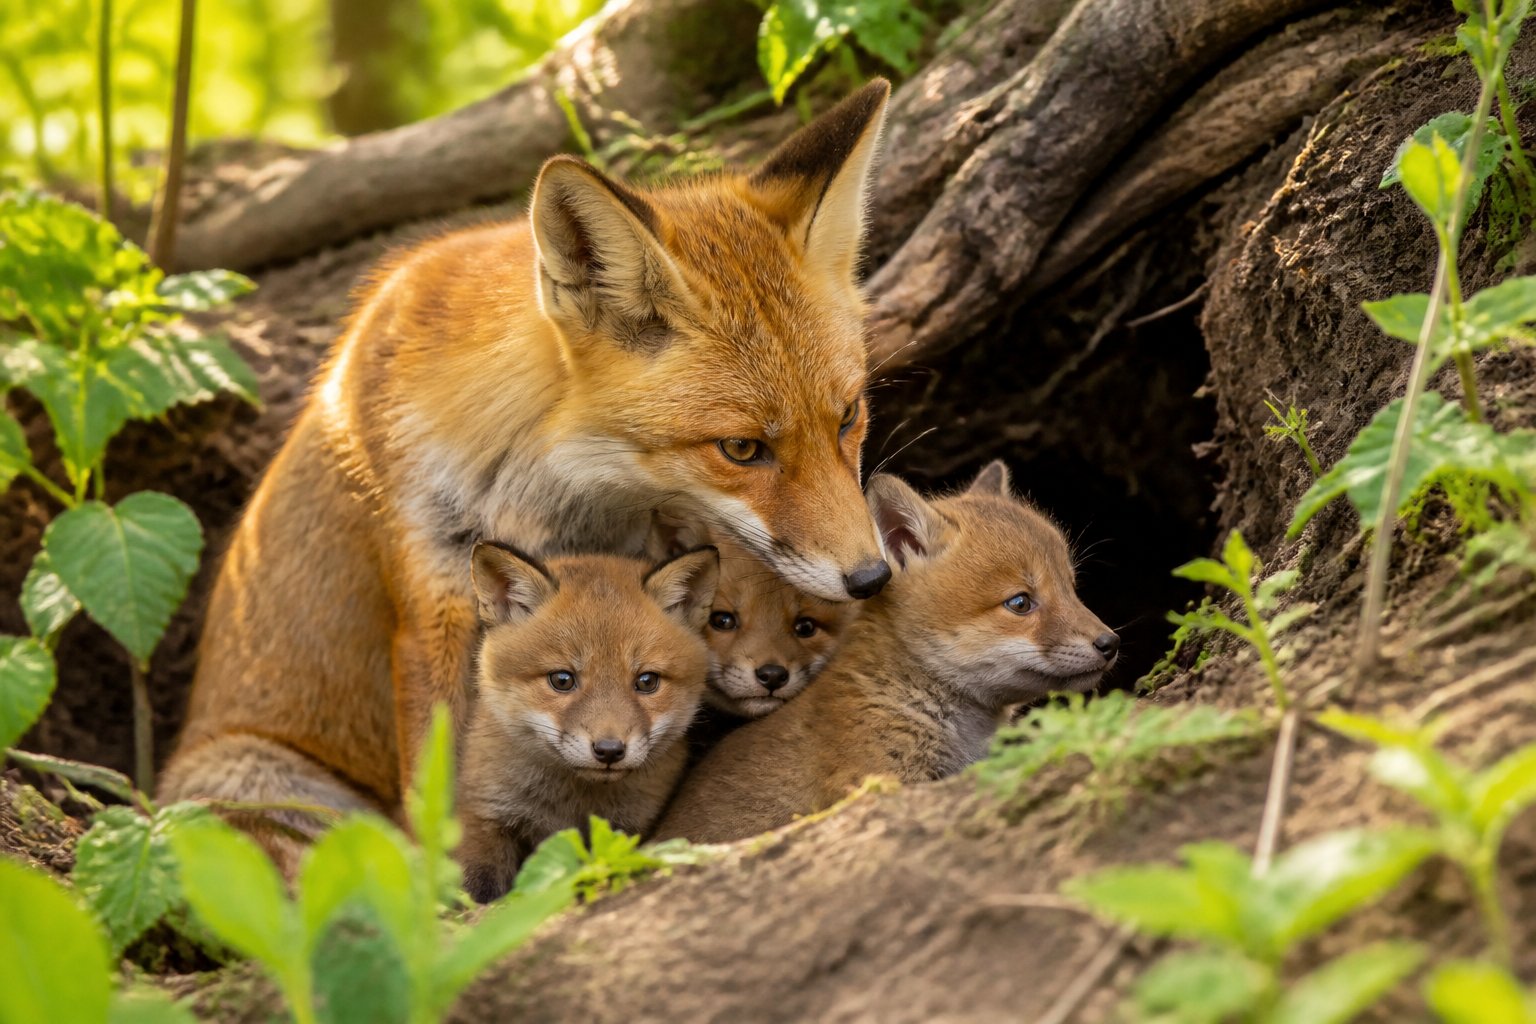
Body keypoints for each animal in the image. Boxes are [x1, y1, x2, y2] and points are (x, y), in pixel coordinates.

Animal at [158, 80, 895, 866]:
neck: (551, 487)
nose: (872, 577)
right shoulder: (435, 593)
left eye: (848, 417)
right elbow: (442, 788)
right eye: (742, 449)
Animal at [456, 542, 717, 904]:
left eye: (647, 681)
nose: (609, 750)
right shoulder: (486, 816)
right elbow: (478, 894)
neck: (570, 805)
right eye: (562, 680)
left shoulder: (632, 827)